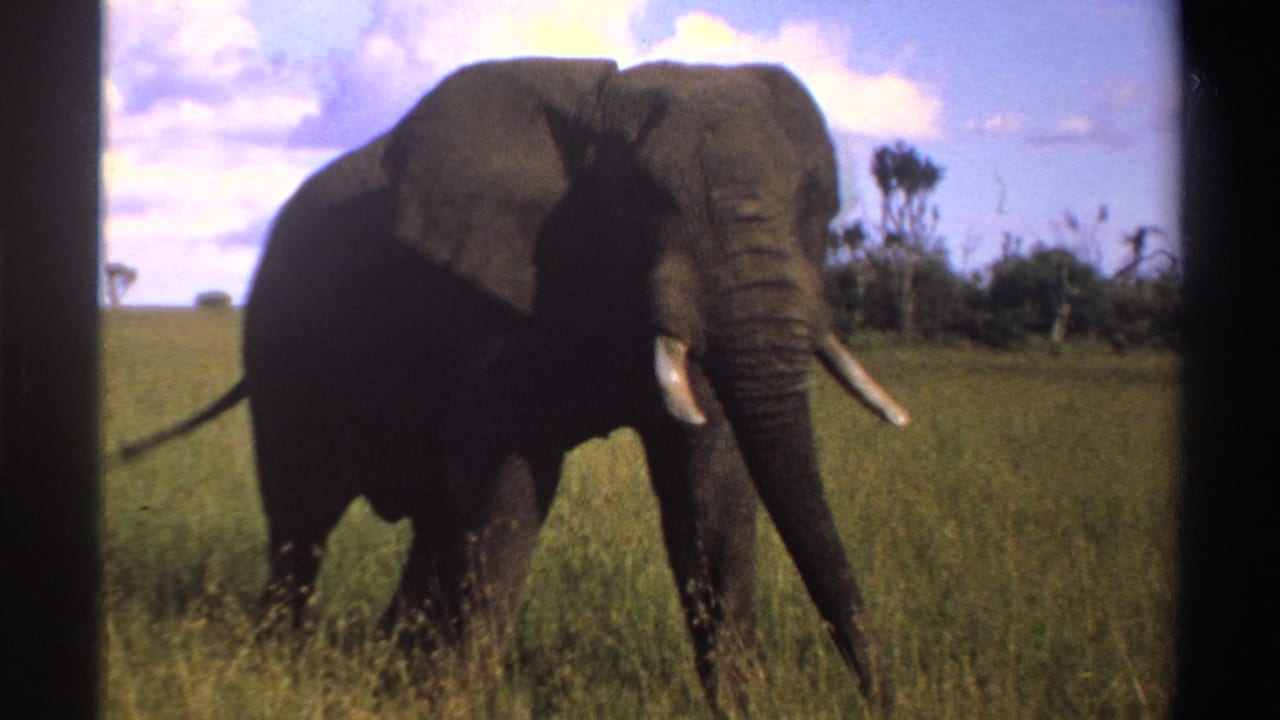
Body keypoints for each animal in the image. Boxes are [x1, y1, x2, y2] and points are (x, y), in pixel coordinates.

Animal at [122, 57, 910, 715]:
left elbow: (709, 481)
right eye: (647, 200)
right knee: (302, 511)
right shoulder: (489, 294)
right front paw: (456, 703)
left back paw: (387, 670)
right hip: (284, 329)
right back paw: (280, 663)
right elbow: (508, 486)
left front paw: (742, 706)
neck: (604, 111)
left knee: (431, 520)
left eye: (820, 208)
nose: (882, 697)